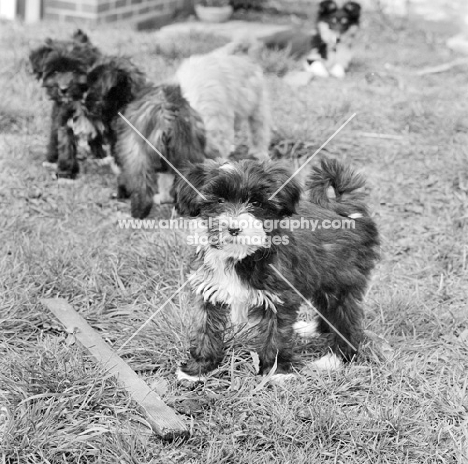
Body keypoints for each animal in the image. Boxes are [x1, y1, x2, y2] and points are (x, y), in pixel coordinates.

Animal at [176, 158, 380, 382]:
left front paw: (276, 371)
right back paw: (312, 330)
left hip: (342, 279)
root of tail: (346, 210)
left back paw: (336, 358)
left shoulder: (279, 297)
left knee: (345, 318)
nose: (234, 228)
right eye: (219, 200)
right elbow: (205, 328)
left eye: (256, 203)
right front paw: (198, 368)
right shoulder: (208, 290)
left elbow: (275, 334)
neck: (241, 256)